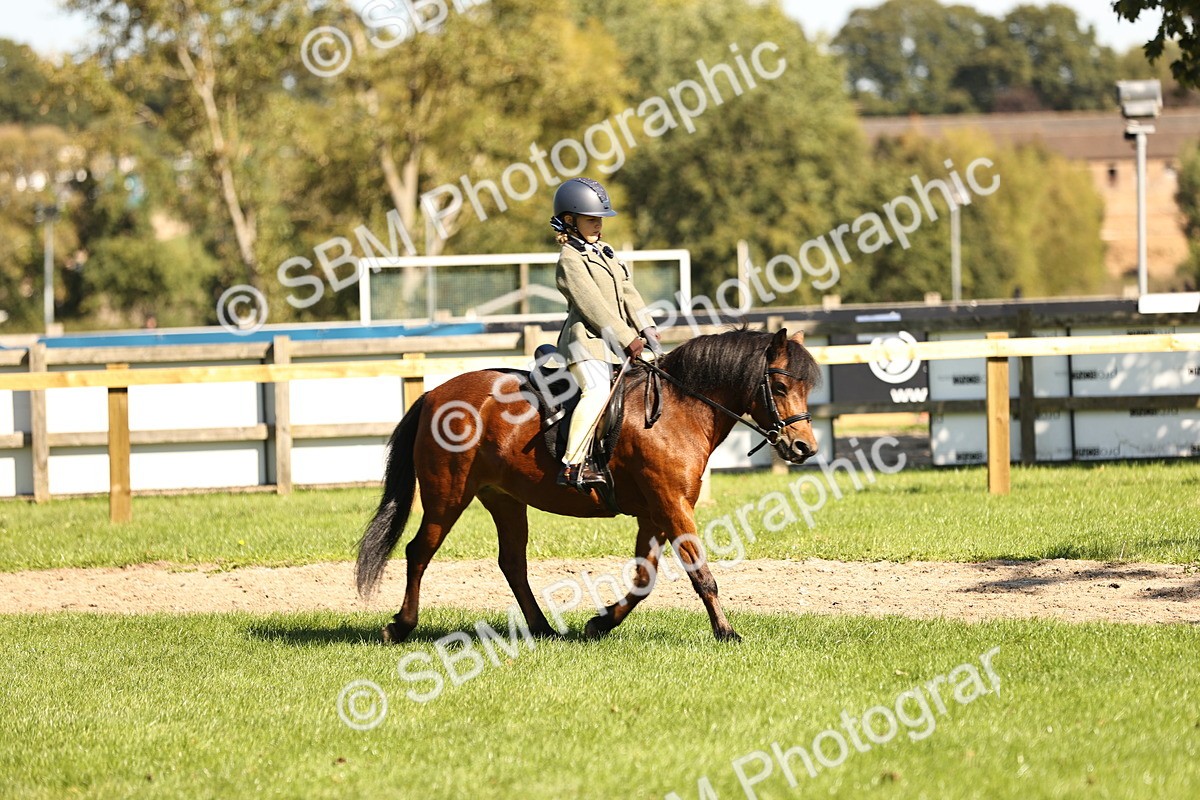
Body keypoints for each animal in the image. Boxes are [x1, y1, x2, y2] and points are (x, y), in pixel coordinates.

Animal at [355, 327, 821, 642]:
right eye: (780, 386)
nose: (805, 447)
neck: (678, 409)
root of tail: (434, 394)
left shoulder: (654, 512)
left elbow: (643, 578)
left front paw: (600, 622)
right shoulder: (671, 504)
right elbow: (700, 571)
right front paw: (726, 632)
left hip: (505, 500)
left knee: (512, 563)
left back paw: (542, 627)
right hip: (447, 496)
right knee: (418, 552)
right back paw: (401, 626)